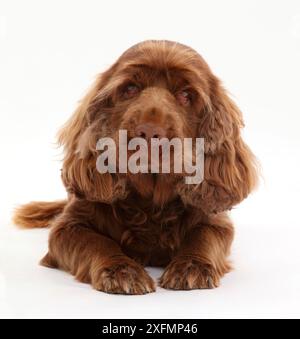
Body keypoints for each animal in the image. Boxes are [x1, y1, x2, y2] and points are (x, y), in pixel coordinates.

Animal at [13, 40, 258, 294]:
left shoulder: (215, 220)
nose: (149, 132)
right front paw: (121, 270)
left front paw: (191, 266)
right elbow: (96, 241)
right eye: (130, 88)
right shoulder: (68, 226)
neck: (150, 203)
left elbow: (204, 237)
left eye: (186, 95)